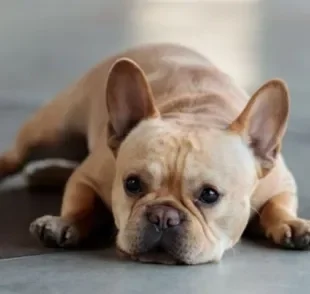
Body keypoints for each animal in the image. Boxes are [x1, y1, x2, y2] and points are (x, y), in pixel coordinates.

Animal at [1, 43, 308, 264]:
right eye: (132, 184)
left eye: (210, 195)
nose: (163, 216)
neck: (195, 112)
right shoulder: (87, 175)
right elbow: (80, 202)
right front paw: (65, 222)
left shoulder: (282, 183)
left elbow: (278, 206)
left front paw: (290, 224)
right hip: (52, 130)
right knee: (19, 155)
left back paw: (44, 175)